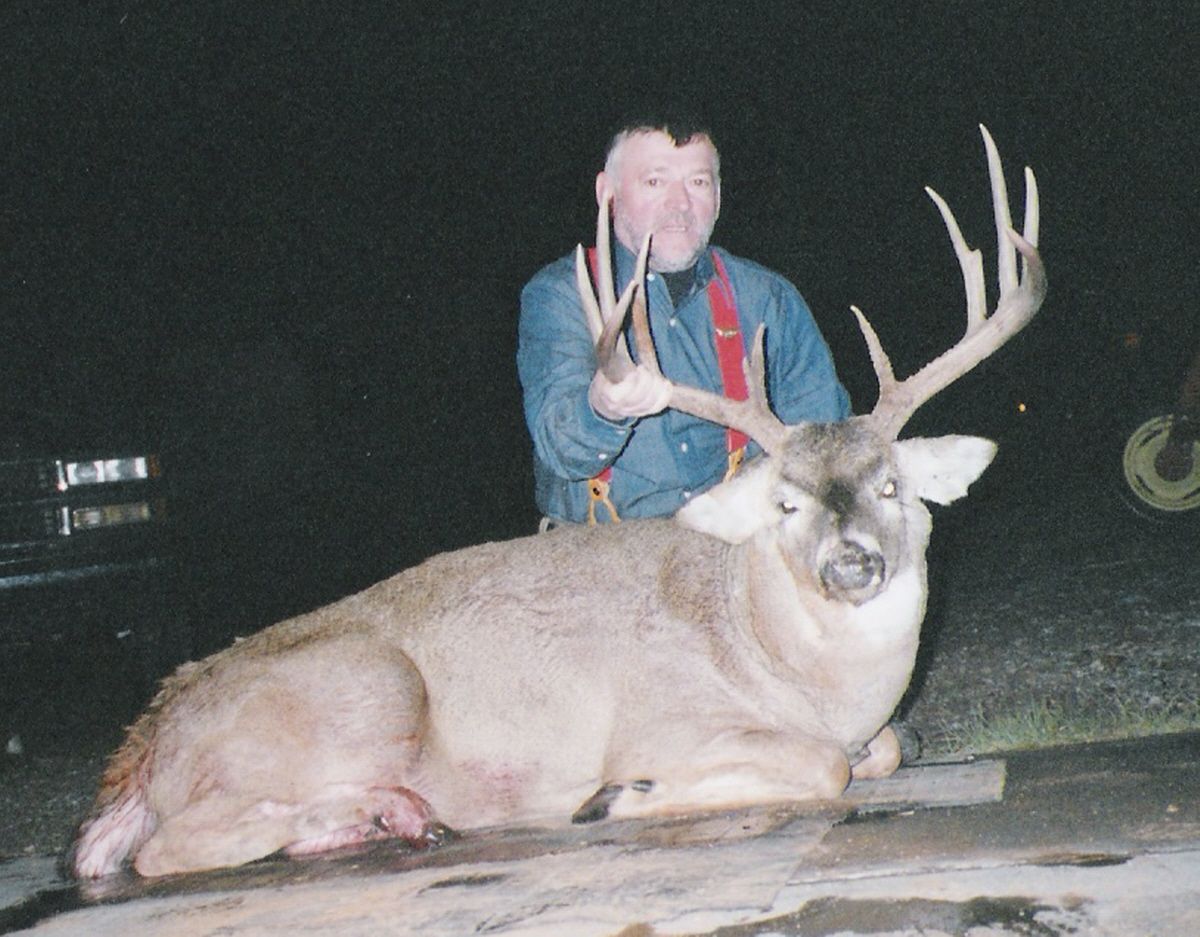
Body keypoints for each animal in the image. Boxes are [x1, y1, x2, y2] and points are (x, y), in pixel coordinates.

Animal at [71, 125, 1045, 879]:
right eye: (786, 504)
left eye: (891, 484)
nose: (853, 563)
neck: (784, 660)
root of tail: (149, 738)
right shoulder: (671, 718)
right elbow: (823, 769)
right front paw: (615, 798)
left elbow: (883, 748)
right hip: (370, 686)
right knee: (163, 848)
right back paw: (378, 811)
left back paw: (389, 815)